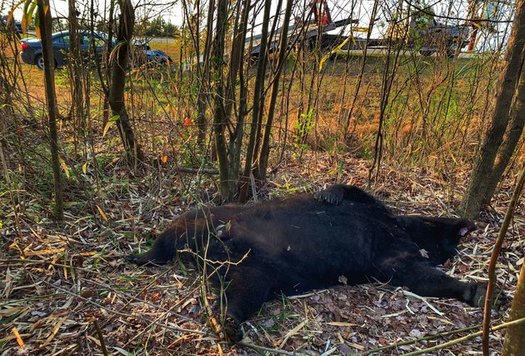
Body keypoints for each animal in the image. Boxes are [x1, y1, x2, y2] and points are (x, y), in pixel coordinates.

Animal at [129, 185, 486, 340]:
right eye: (450, 242)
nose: (453, 252)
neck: (402, 230)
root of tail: (209, 255)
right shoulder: (373, 206)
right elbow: (350, 188)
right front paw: (329, 195)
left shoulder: (399, 263)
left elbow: (427, 279)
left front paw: (477, 292)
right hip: (198, 216)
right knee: (163, 242)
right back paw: (138, 256)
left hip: (254, 278)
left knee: (235, 302)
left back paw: (228, 327)